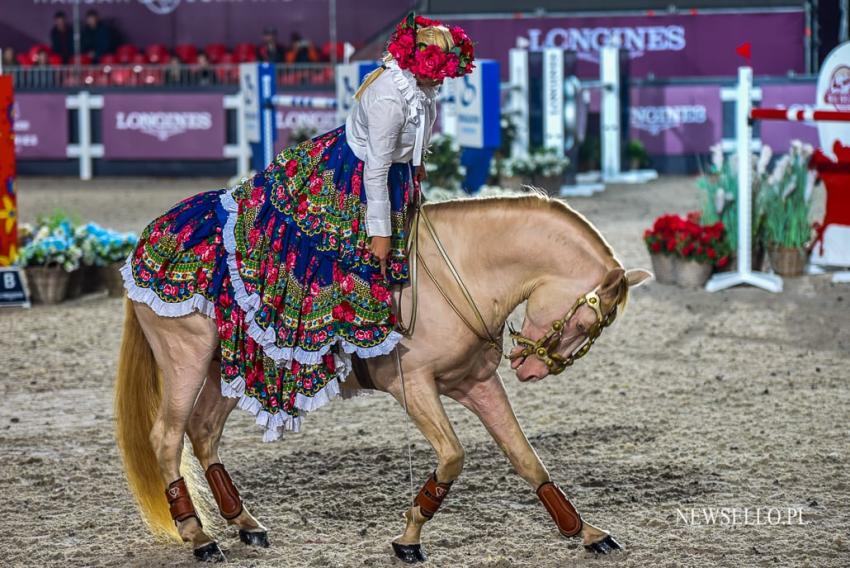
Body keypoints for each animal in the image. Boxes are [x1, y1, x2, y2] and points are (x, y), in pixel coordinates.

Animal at [114, 195, 648, 564]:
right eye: (583, 321)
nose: (530, 367)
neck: (460, 272)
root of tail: (147, 239)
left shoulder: (475, 384)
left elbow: (526, 460)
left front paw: (587, 532)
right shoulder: (412, 386)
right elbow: (453, 456)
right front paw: (409, 538)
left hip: (231, 370)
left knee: (203, 430)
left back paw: (245, 523)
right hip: (185, 361)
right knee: (167, 437)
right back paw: (199, 538)